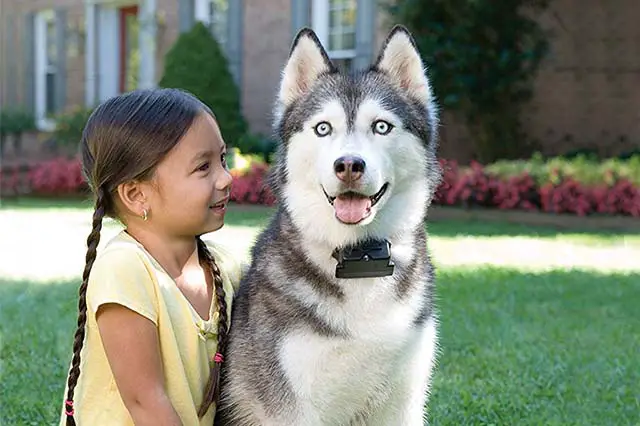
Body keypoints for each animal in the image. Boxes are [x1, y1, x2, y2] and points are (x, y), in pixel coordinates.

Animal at [215, 25, 440, 424]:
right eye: (323, 128)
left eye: (381, 126)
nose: (348, 165)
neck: (359, 258)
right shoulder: (290, 408)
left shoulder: (402, 403)